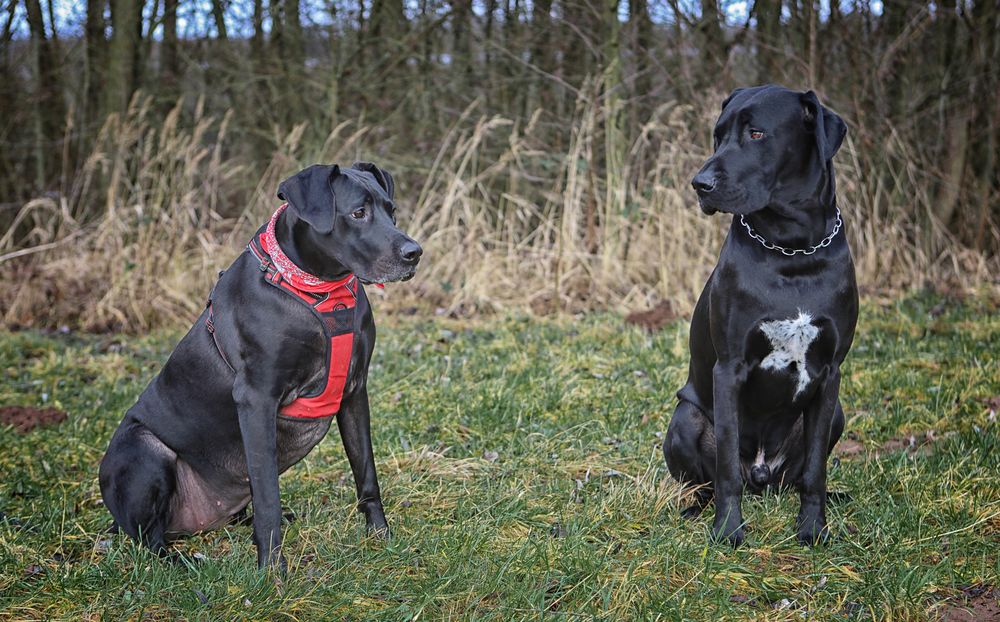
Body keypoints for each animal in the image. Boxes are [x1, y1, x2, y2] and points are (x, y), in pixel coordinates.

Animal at [97, 163, 418, 572]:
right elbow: (268, 496)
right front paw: (271, 570)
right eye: (358, 213)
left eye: (391, 210)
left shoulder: (354, 391)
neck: (319, 288)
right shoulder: (257, 400)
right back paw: (182, 563)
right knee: (148, 539)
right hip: (142, 449)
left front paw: (380, 537)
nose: (414, 252)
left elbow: (366, 473)